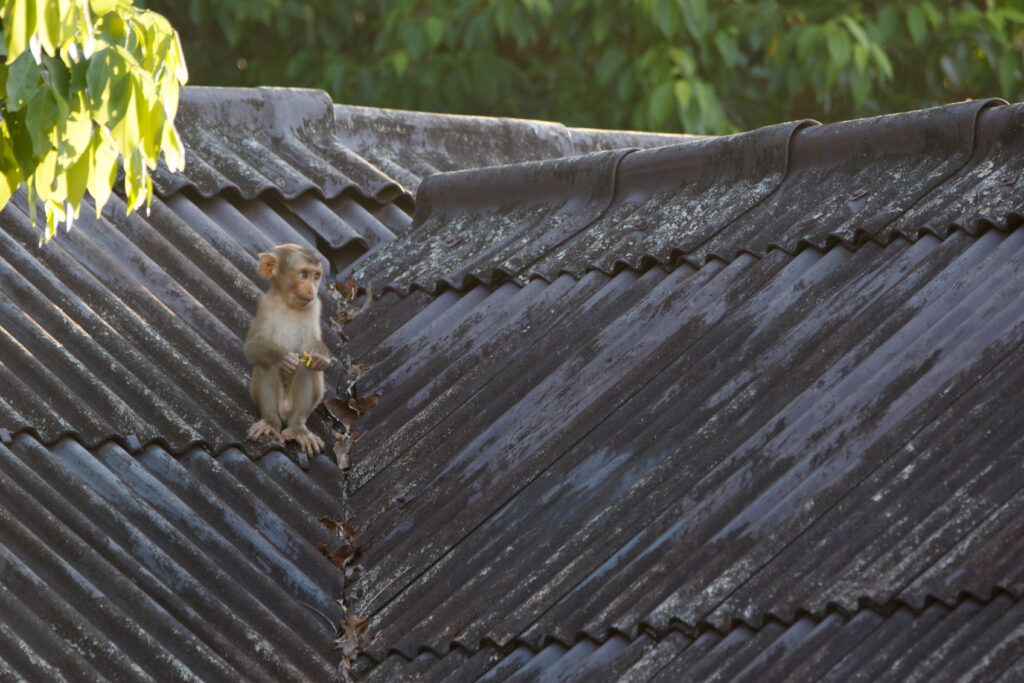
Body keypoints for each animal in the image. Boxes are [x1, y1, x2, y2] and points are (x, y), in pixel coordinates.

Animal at [242, 242, 327, 456]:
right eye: (303, 275)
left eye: (316, 276)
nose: (312, 289)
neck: (288, 303)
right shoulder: (265, 304)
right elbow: (252, 346)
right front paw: (283, 357)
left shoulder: (314, 306)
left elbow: (312, 345)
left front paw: (321, 357)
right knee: (265, 363)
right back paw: (271, 423)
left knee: (307, 365)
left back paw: (297, 429)